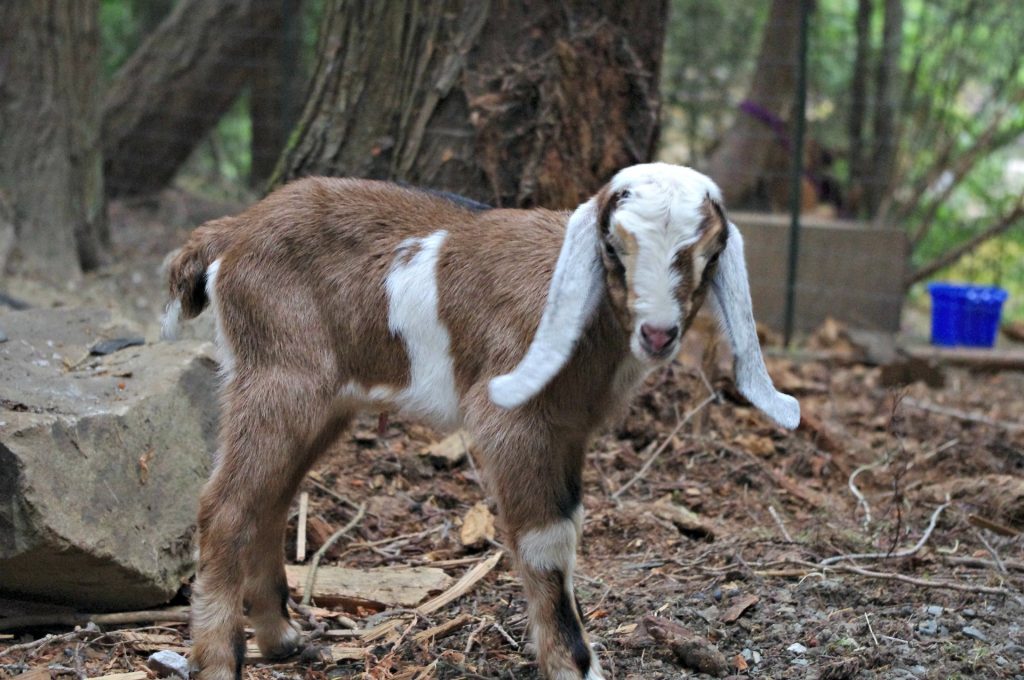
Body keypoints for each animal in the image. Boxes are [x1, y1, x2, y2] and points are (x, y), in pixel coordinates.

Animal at [163, 161, 794, 675]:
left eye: (709, 253)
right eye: (614, 248)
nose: (658, 333)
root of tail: (232, 232)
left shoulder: (568, 432)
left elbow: (565, 529)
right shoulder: (514, 424)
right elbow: (544, 544)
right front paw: (574, 666)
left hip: (322, 402)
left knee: (269, 501)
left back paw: (283, 639)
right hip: (279, 378)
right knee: (224, 505)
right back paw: (217, 661)